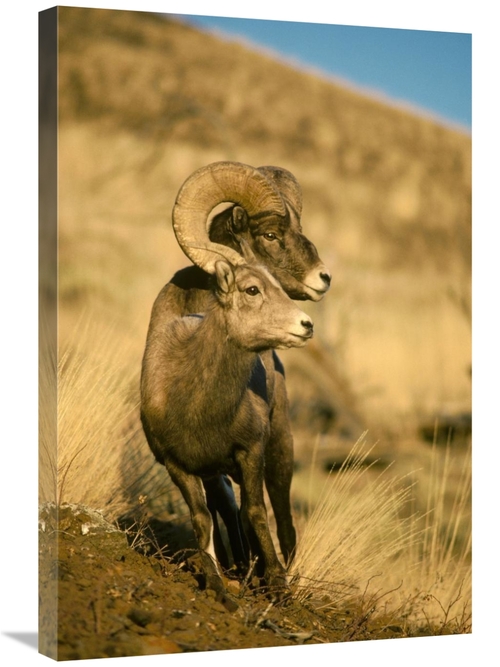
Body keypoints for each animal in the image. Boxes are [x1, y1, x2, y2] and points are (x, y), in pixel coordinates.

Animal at [140, 243, 314, 606]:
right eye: (252, 289)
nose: (306, 325)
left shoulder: (250, 453)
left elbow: (256, 512)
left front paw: (276, 584)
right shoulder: (178, 467)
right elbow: (203, 519)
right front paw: (216, 584)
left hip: (279, 447)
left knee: (281, 513)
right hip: (216, 473)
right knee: (227, 506)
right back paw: (241, 566)